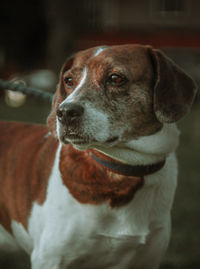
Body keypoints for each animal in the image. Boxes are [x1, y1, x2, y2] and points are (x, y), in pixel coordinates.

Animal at [0, 44, 197, 266]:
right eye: (69, 81)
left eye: (116, 78)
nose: (65, 112)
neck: (122, 169)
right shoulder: (49, 258)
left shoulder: (148, 259)